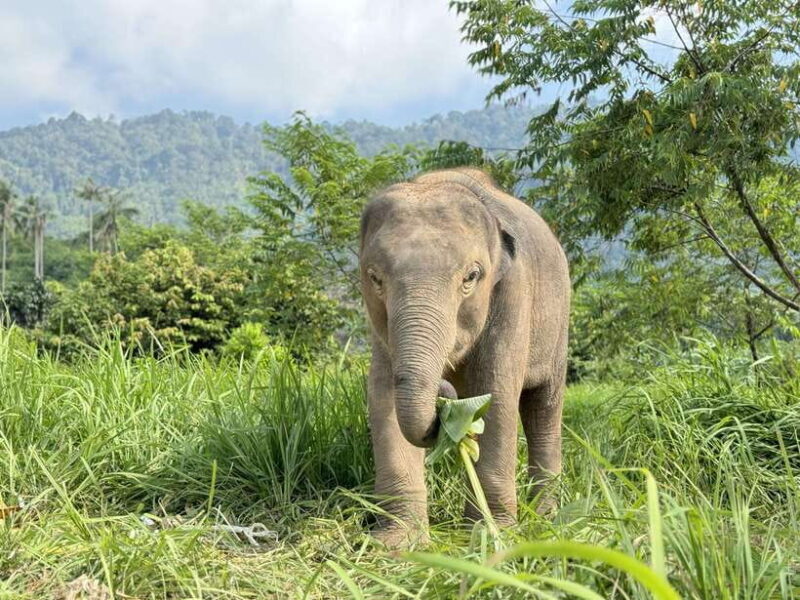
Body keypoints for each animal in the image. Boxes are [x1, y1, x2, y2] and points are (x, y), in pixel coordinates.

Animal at [359, 167, 570, 548]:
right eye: (375, 278)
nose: (443, 396)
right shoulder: (381, 328)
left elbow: (497, 391)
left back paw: (546, 518)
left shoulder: (513, 292)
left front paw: (491, 533)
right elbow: (382, 395)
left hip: (558, 324)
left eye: (471, 277)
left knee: (543, 408)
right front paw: (397, 544)